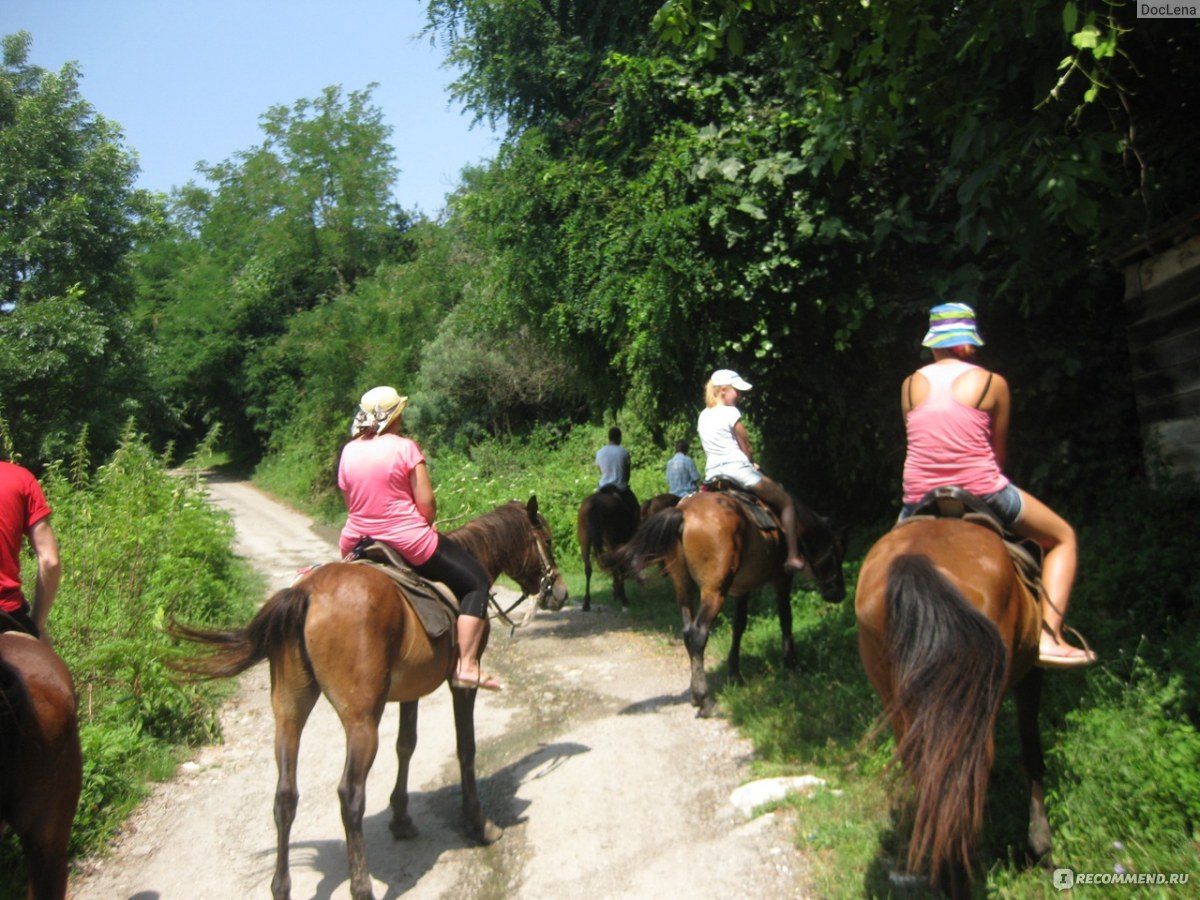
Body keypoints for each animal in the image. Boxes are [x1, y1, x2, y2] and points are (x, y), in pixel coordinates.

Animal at [165, 496, 571, 900]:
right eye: (548, 540)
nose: (561, 592)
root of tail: (305, 595)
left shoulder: (411, 688)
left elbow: (406, 745)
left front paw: (402, 818)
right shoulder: (461, 685)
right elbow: (466, 749)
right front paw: (479, 823)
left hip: (289, 710)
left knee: (285, 795)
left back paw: (281, 887)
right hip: (361, 720)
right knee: (350, 795)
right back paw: (362, 887)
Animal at [609, 489, 844, 715]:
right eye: (835, 552)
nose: (838, 593)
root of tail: (683, 514)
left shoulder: (742, 589)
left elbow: (738, 626)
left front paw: (734, 673)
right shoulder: (782, 579)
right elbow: (786, 618)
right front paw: (791, 662)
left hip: (683, 586)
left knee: (686, 631)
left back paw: (695, 694)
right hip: (714, 591)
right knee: (697, 634)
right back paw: (705, 700)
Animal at [854, 518, 1051, 897]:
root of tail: (915, 561)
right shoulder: (1032, 671)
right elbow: (1032, 753)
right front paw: (1041, 848)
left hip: (902, 699)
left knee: (929, 771)